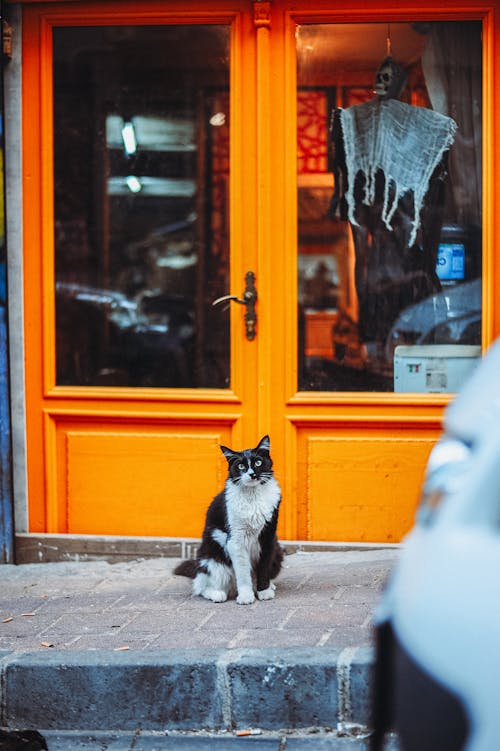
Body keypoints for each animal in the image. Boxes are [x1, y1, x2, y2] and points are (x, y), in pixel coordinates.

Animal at [175, 434, 286, 604]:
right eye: (240, 466)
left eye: (258, 462)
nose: (252, 474)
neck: (253, 496)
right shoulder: (236, 540)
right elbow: (243, 573)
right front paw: (246, 596)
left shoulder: (268, 537)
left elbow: (263, 568)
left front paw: (264, 591)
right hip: (214, 558)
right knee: (202, 586)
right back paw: (217, 594)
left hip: (278, 552)